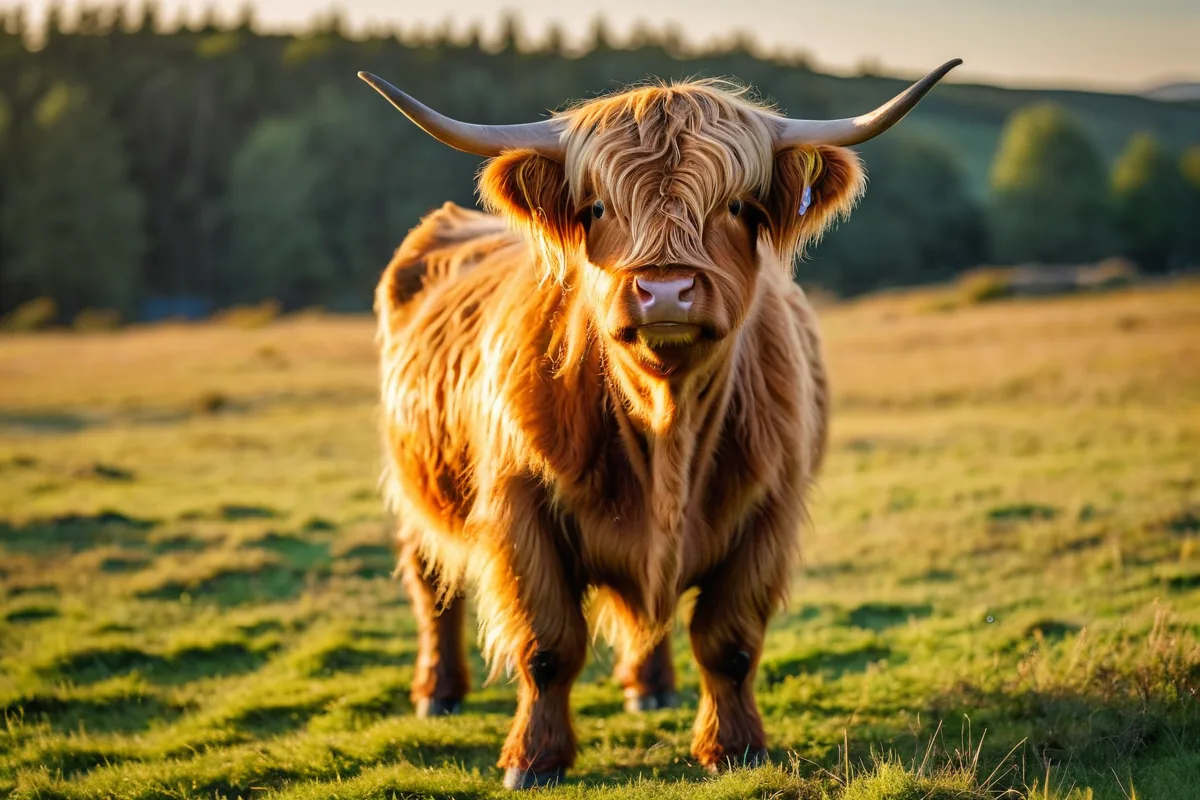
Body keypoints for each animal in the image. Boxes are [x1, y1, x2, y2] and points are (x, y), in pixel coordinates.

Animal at [359, 59, 961, 790]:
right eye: (597, 208)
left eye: (736, 205)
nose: (666, 291)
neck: (665, 428)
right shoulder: (520, 507)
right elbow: (547, 645)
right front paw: (533, 759)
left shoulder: (770, 512)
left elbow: (729, 643)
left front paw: (734, 747)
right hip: (416, 485)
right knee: (431, 585)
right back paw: (437, 693)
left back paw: (651, 687)